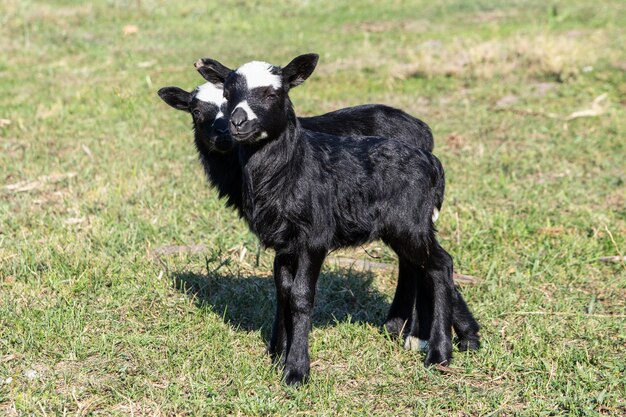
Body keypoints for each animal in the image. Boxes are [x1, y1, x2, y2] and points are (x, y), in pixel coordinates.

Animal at [196, 53, 472, 386]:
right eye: (228, 93)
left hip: (411, 222)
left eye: (273, 94)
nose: (236, 123)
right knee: (421, 265)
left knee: (440, 265)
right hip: (401, 226)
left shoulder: (314, 237)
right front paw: (280, 355)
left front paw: (296, 371)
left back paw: (439, 353)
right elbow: (284, 293)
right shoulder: (284, 242)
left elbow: (301, 297)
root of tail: (431, 161)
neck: (290, 168)